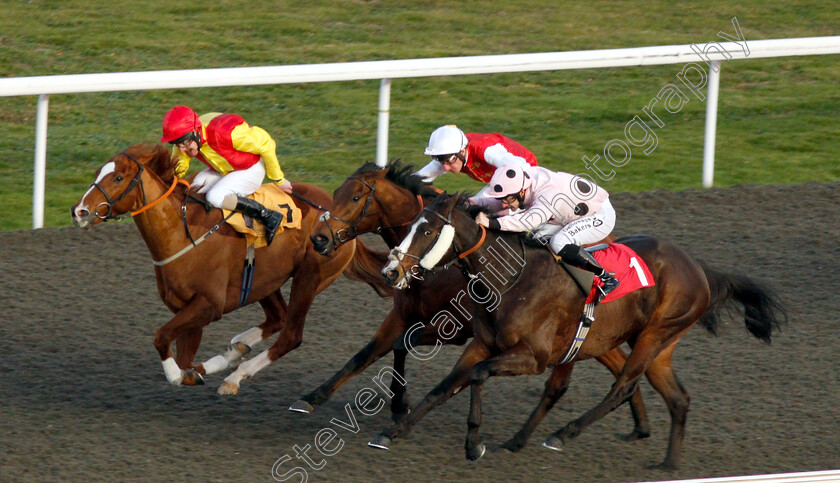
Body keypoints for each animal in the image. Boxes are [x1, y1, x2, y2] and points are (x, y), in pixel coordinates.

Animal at [70, 144, 388, 394]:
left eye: (118, 177)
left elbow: (163, 340)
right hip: (265, 279)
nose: (79, 211)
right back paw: (237, 349)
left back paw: (235, 375)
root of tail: (340, 219)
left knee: (291, 334)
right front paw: (198, 370)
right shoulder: (187, 310)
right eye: (97, 172)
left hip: (310, 277)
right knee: (278, 317)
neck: (182, 234)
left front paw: (178, 373)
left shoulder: (209, 304)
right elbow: (185, 362)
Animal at [296, 161, 656, 440]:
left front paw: (400, 405)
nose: (319, 238)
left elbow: (403, 345)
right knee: (620, 363)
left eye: (356, 197)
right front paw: (313, 397)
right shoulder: (402, 315)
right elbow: (368, 353)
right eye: (337, 193)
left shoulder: (454, 328)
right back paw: (640, 424)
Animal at [374, 193, 788, 468]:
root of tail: (700, 269)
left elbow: (476, 376)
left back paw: (562, 434)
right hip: (657, 344)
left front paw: (473, 444)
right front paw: (393, 431)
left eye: (428, 231)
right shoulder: (482, 343)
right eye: (409, 226)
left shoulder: (533, 356)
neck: (509, 280)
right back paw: (668, 464)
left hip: (654, 335)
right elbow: (443, 388)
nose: (391, 272)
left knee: (623, 387)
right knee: (678, 398)